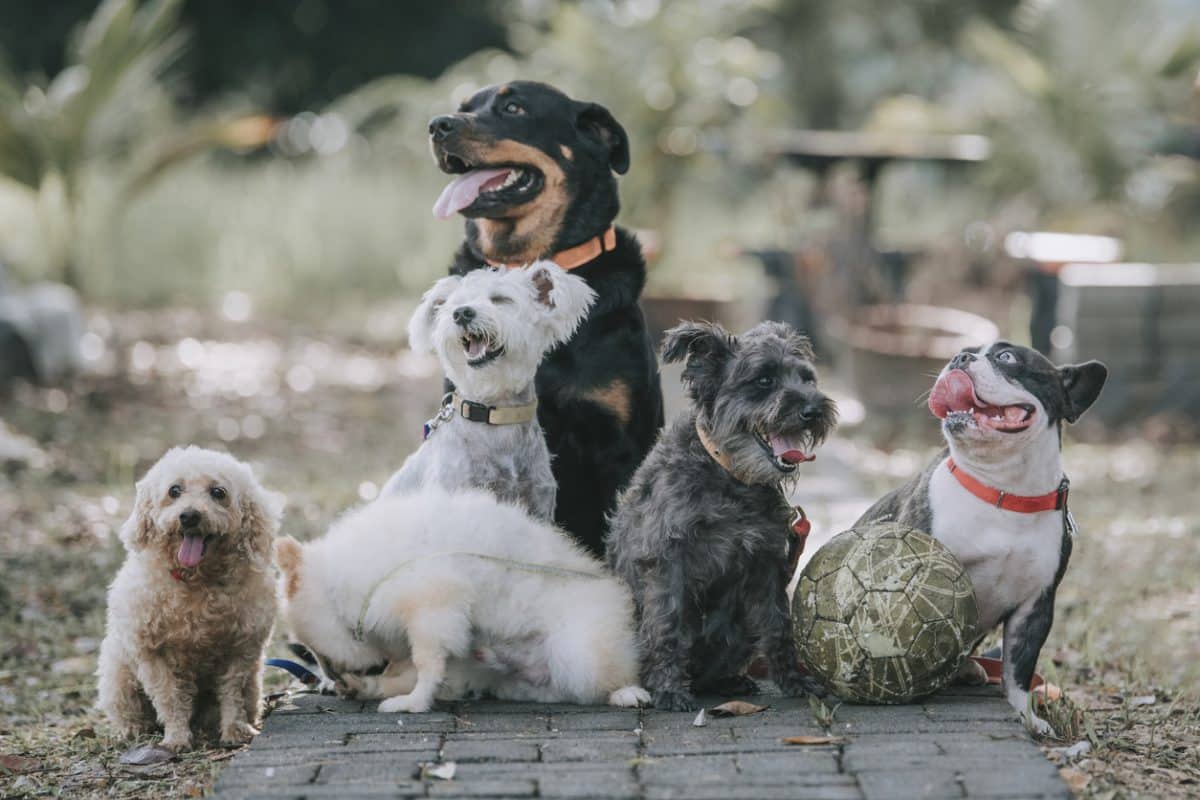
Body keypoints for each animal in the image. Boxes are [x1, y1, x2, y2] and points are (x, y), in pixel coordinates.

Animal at [274, 489, 648, 714]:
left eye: (318, 653)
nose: (329, 676)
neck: (344, 578)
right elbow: (411, 670)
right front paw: (370, 686)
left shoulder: (432, 607)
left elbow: (425, 667)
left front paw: (412, 703)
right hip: (506, 673)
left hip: (579, 654)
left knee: (599, 681)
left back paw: (626, 693)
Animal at [609, 321, 835, 710]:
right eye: (764, 380)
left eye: (807, 378)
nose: (812, 410)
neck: (730, 475)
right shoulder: (666, 558)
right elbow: (667, 624)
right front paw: (669, 688)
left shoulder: (767, 562)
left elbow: (778, 624)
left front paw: (794, 680)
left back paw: (731, 681)